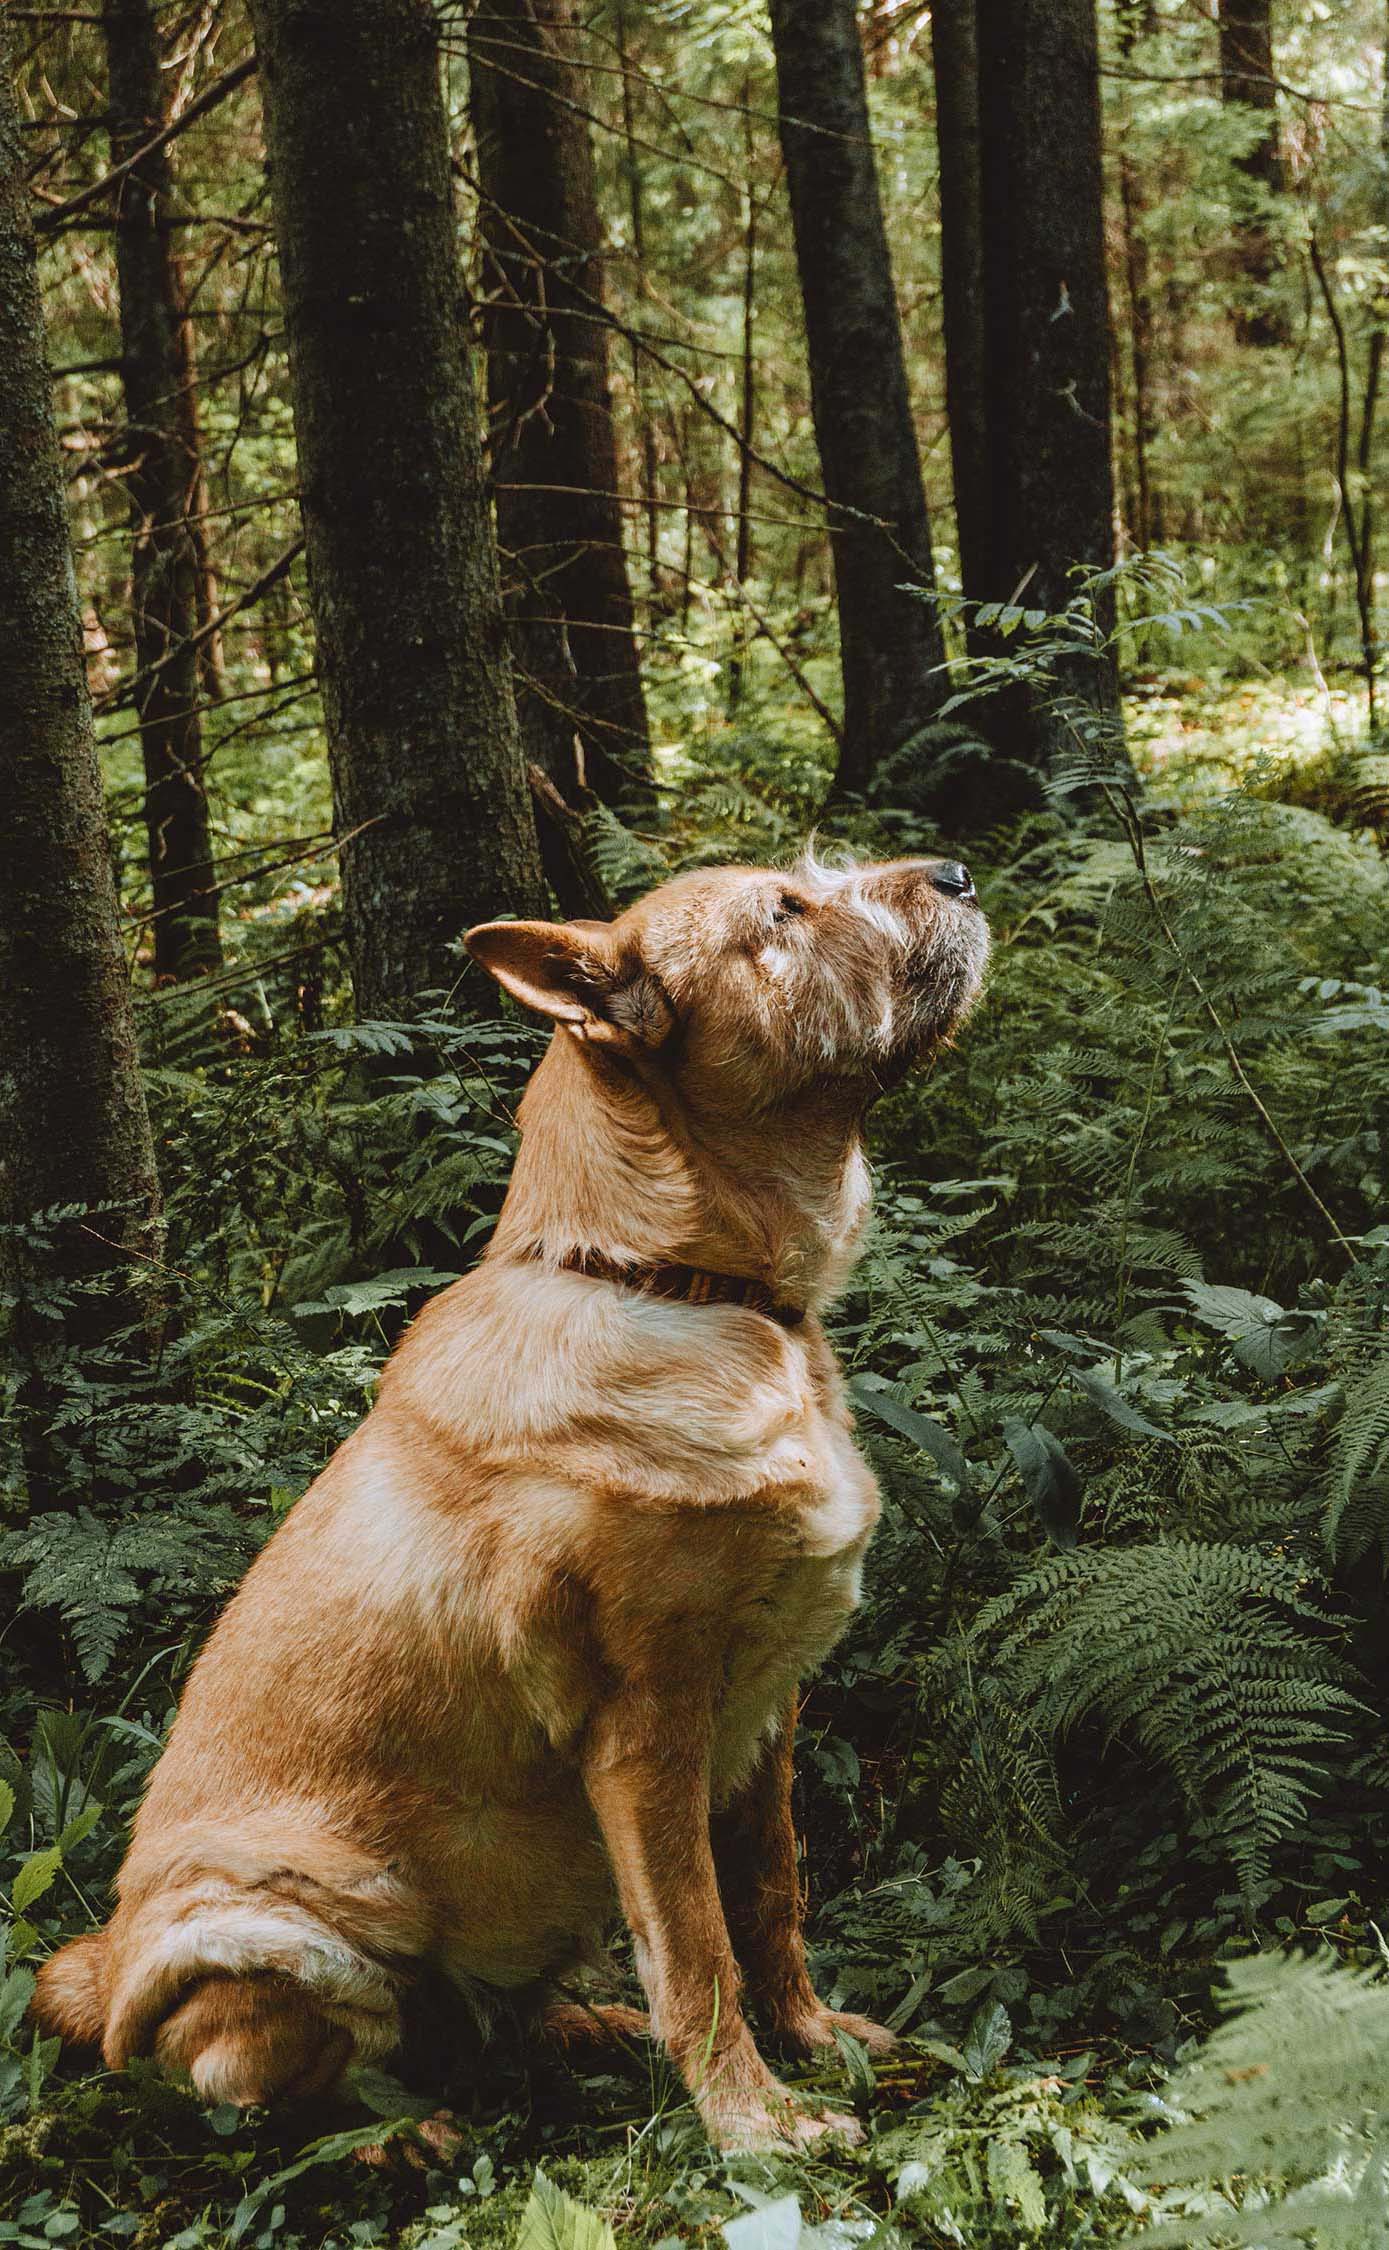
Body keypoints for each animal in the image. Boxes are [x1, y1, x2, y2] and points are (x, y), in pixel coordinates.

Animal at [32, 850, 986, 2151]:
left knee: (494, 2025)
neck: (676, 1284)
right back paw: (404, 2137)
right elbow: (697, 1948)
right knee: (269, 2087)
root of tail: (107, 1966)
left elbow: (770, 1899)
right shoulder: (649, 1724)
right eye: (781, 915)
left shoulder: (768, 1715)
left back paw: (584, 2032)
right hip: (312, 1921)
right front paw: (755, 2122)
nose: (958, 872)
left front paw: (811, 2040)